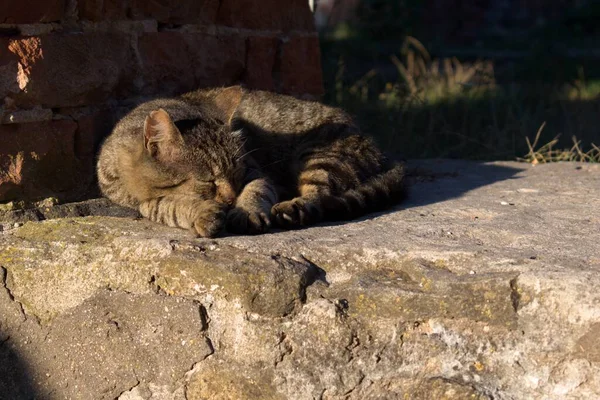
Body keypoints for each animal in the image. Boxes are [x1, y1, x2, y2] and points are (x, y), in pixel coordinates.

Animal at [98, 86, 406, 238]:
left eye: (236, 175)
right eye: (208, 181)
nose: (230, 198)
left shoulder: (255, 172)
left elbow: (257, 191)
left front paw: (245, 211)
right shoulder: (139, 202)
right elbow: (167, 206)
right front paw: (202, 212)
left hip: (318, 157)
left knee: (320, 198)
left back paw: (293, 209)